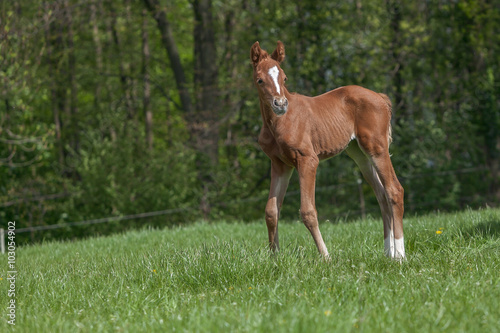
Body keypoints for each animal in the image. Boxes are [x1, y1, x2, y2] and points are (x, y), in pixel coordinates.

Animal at [250, 40, 406, 260]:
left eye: (284, 78)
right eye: (260, 80)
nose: (280, 104)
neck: (279, 122)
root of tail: (381, 97)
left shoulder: (307, 160)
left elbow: (308, 211)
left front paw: (325, 257)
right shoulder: (280, 165)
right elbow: (271, 211)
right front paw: (274, 257)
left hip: (377, 147)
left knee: (394, 190)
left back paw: (400, 255)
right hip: (359, 154)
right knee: (382, 195)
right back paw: (388, 253)